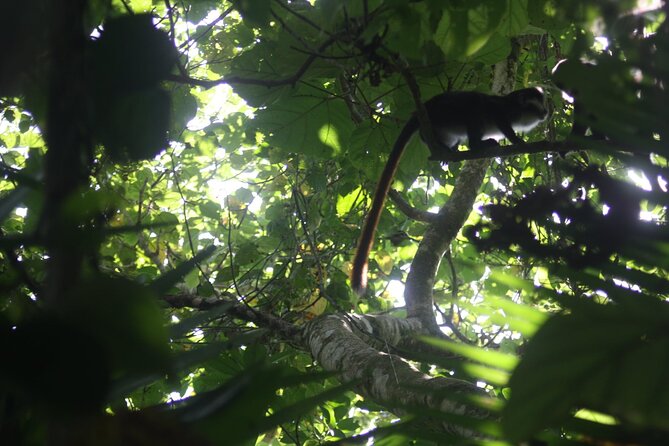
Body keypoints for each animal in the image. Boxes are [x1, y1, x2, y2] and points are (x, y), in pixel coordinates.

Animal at [351, 88, 548, 293]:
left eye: (544, 104)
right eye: (536, 105)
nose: (546, 113)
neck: (515, 109)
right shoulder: (500, 109)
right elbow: (493, 114)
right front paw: (517, 141)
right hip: (445, 112)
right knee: (474, 105)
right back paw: (476, 144)